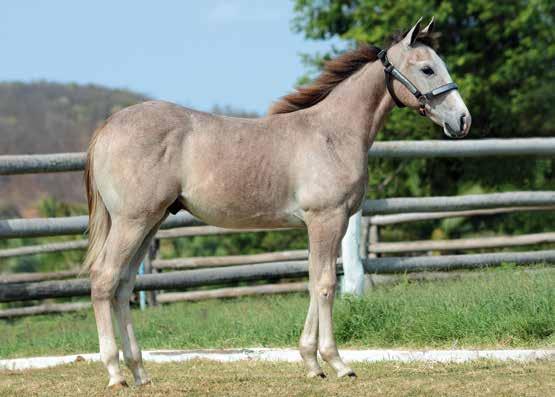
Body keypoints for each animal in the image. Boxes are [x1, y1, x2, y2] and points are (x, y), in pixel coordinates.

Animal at [82, 19, 472, 386]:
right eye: (427, 69)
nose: (463, 120)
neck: (332, 133)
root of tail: (109, 126)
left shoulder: (326, 224)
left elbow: (314, 281)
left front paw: (312, 364)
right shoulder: (326, 219)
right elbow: (327, 284)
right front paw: (337, 363)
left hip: (151, 222)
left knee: (124, 286)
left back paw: (140, 372)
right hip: (133, 222)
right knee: (104, 279)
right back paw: (115, 372)